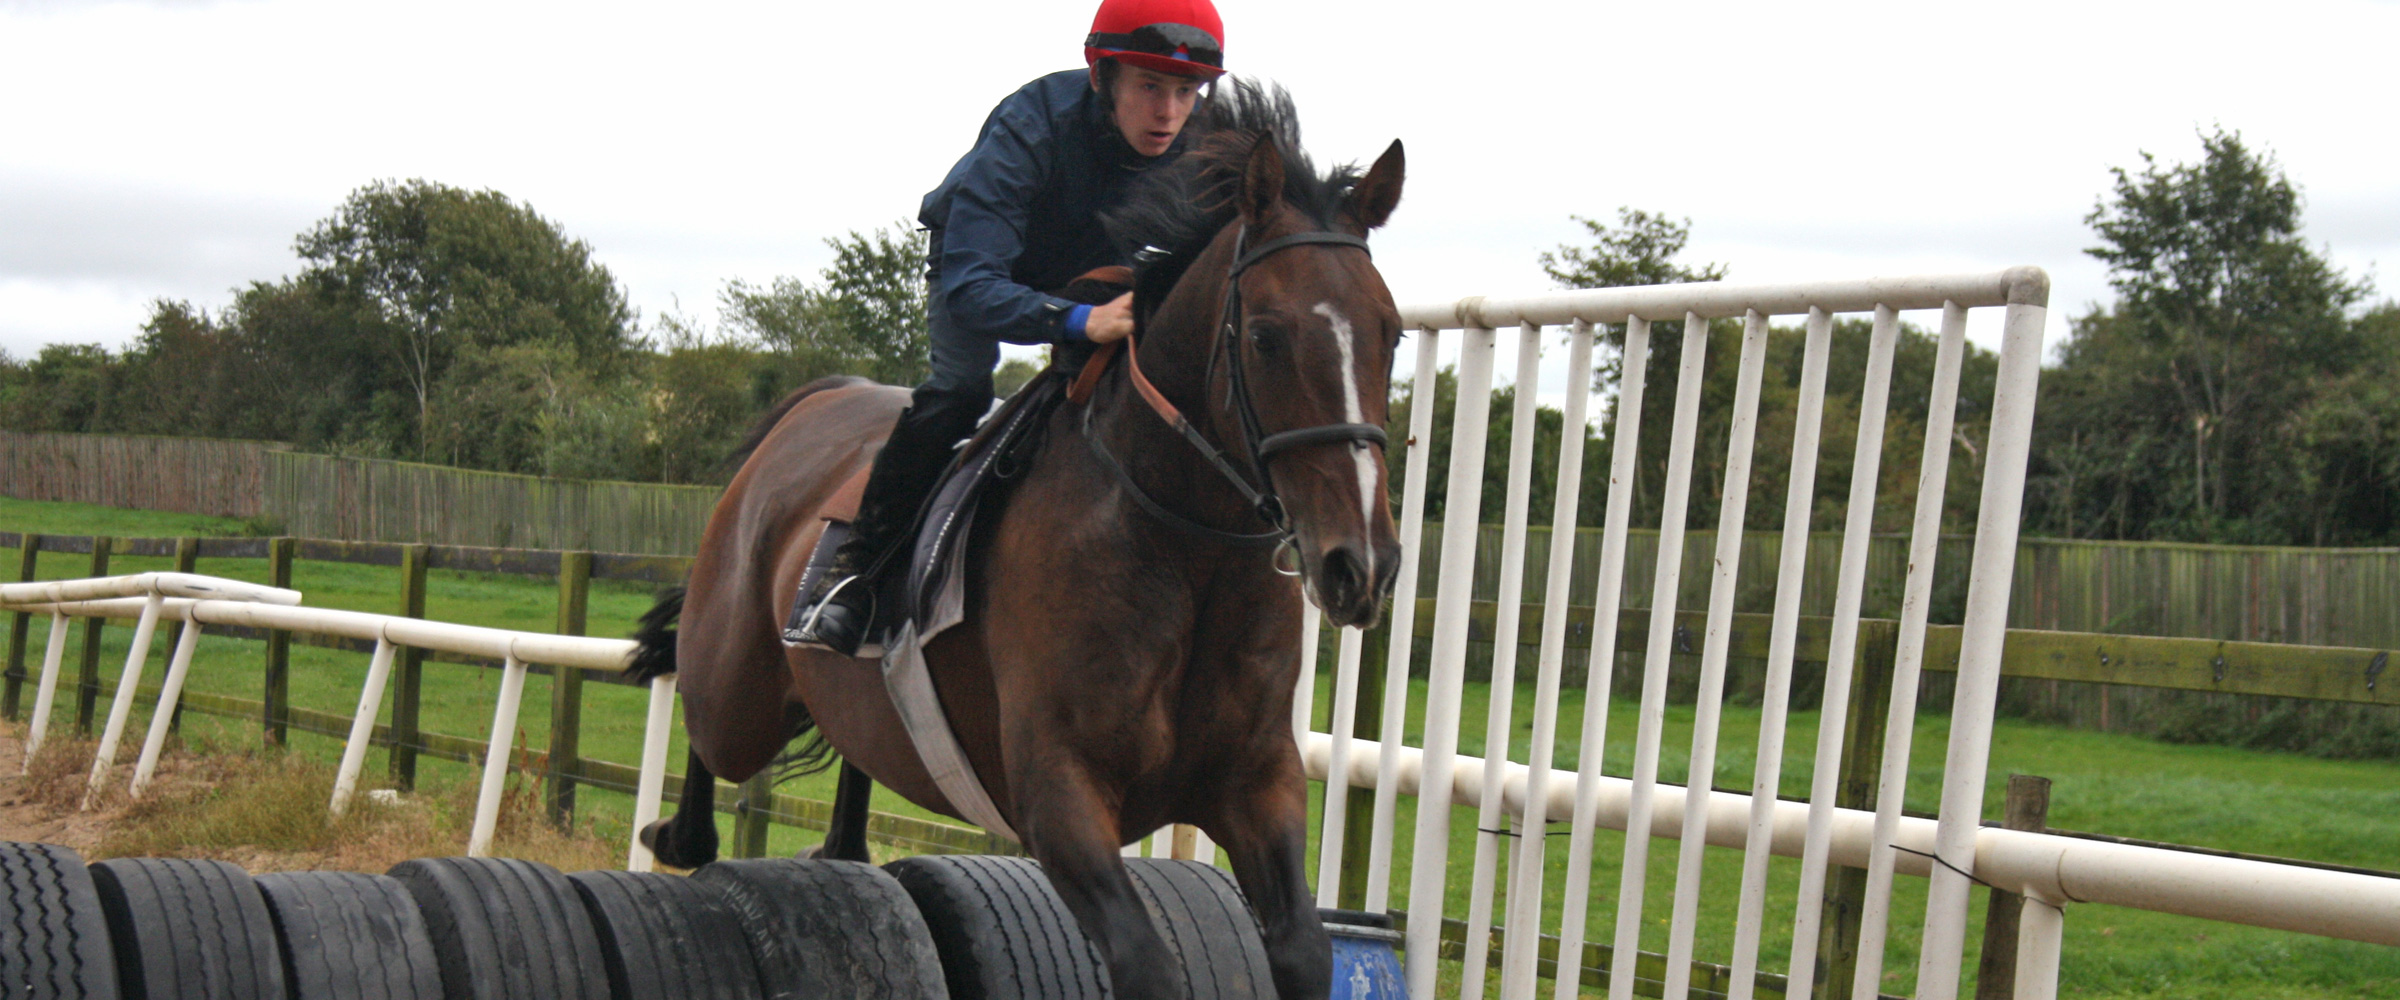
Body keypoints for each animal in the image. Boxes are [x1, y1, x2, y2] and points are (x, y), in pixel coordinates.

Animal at [628, 79, 1401, 997]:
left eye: (1390, 331)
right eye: (1266, 336)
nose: (1361, 564)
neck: (1188, 549)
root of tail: (817, 401)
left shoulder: (1259, 781)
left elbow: (1305, 946)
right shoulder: (1058, 790)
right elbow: (1145, 960)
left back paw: (841, 844)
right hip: (738, 689)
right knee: (701, 703)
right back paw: (684, 833)